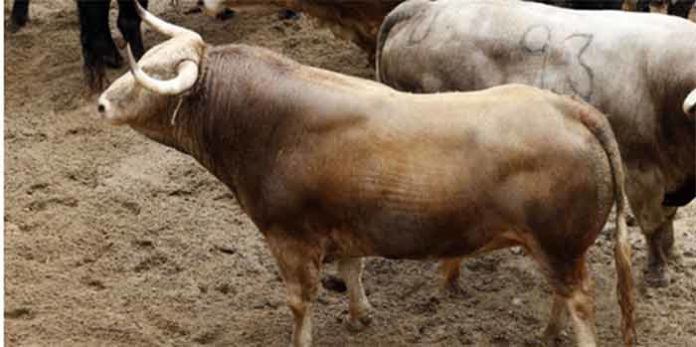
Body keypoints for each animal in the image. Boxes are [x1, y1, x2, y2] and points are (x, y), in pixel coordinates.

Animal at [98, 3, 636, 347]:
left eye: (154, 75)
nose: (101, 103)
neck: (265, 121)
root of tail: (571, 110)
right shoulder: (344, 223)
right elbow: (352, 268)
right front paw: (360, 314)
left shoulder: (289, 238)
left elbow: (300, 301)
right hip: (556, 249)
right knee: (562, 294)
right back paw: (547, 332)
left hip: (560, 244)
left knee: (581, 300)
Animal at [378, 0, 692, 288]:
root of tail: (423, 8)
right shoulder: (641, 171)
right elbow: (653, 223)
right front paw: (658, 271)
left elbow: (668, 219)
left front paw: (671, 252)